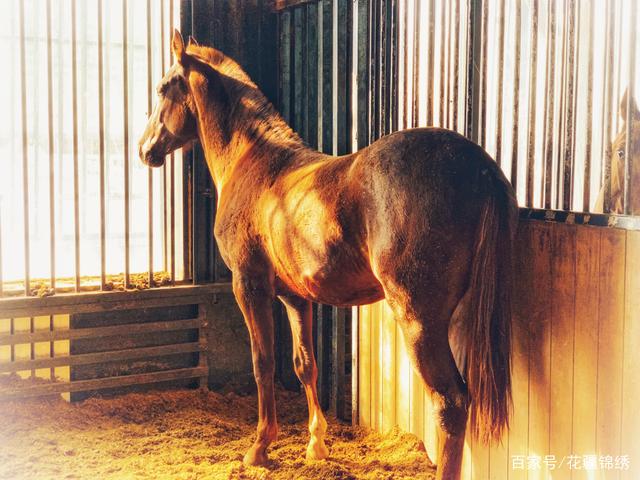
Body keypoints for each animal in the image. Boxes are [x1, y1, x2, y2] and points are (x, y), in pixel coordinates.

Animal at [140, 31, 520, 480]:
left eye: (163, 87)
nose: (145, 149)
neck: (254, 163)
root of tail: (479, 166)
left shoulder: (249, 286)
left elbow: (263, 362)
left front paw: (259, 448)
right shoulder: (294, 296)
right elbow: (305, 364)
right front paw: (316, 444)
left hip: (418, 320)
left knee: (450, 402)